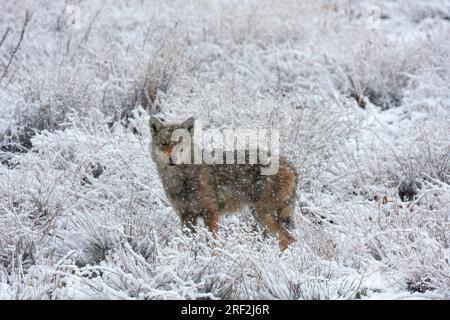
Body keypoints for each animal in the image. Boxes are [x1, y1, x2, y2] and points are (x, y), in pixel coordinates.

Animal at [149, 116, 298, 251]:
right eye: (163, 143)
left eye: (180, 142)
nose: (172, 158)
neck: (182, 178)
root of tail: (290, 166)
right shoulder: (186, 217)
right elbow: (188, 244)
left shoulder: (210, 214)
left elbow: (212, 245)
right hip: (259, 216)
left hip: (265, 215)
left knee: (288, 239)